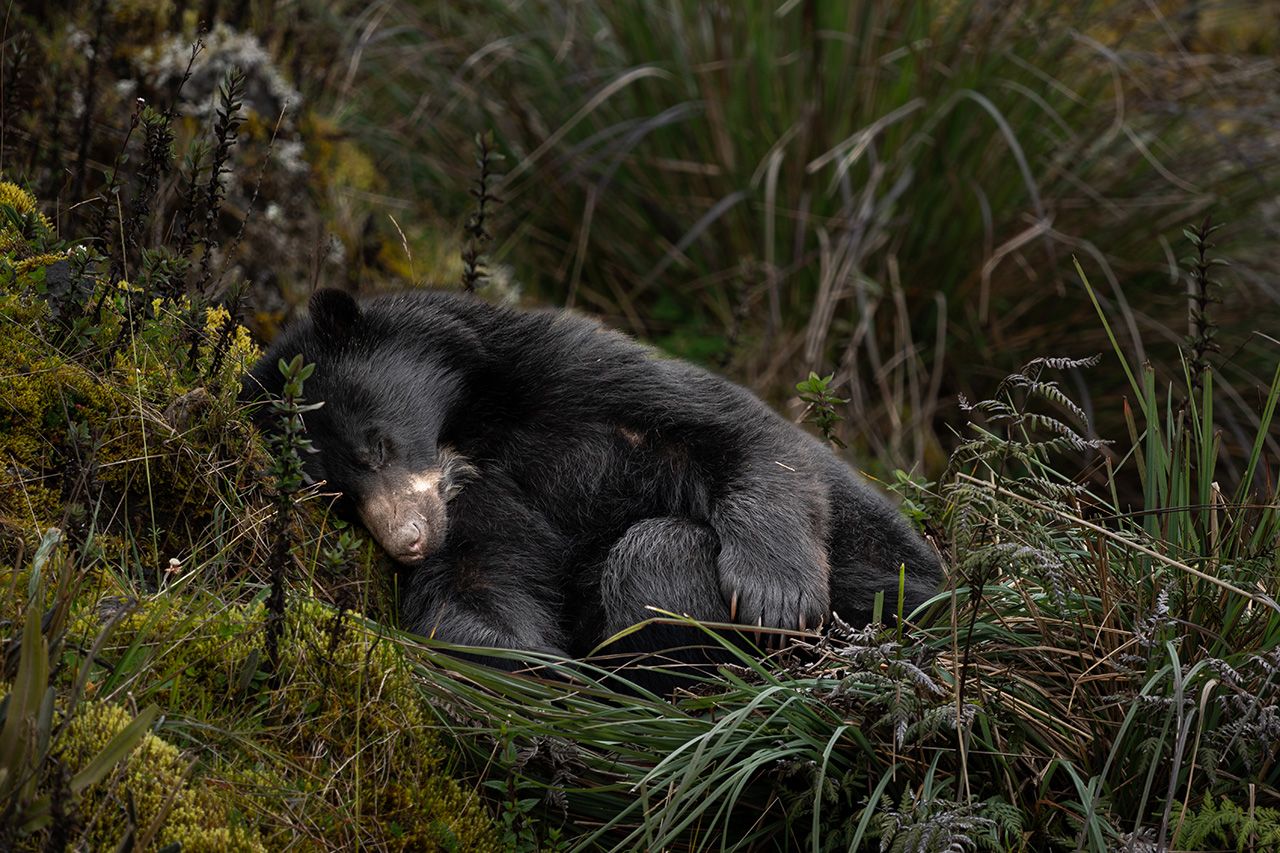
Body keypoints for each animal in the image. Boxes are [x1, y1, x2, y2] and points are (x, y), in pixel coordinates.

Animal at [244, 288, 941, 674]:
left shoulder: (577, 375)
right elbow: (475, 585)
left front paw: (776, 597)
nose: (409, 542)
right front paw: (535, 665)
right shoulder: (478, 508)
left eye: (377, 445)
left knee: (660, 552)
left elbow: (743, 438)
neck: (470, 435)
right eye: (339, 499)